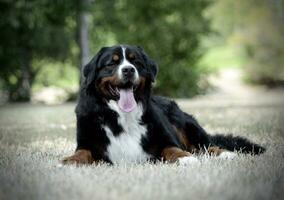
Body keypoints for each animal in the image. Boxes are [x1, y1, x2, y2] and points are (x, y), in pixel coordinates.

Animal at [61, 44, 264, 165]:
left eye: (136, 61)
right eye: (112, 63)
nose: (128, 70)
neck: (122, 116)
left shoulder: (165, 139)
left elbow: (172, 148)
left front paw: (185, 158)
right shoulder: (88, 143)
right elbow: (82, 153)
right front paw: (69, 160)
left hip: (187, 125)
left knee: (207, 145)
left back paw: (225, 153)